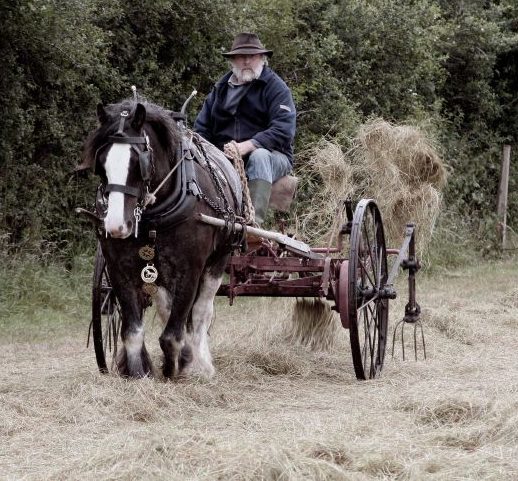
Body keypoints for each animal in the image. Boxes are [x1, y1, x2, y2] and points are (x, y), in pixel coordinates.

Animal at [80, 100, 245, 378]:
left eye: (138, 162)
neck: (153, 216)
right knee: (167, 306)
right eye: (101, 163)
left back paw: (202, 363)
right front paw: (138, 373)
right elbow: (132, 332)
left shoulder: (191, 268)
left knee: (201, 312)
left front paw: (175, 370)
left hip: (219, 258)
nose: (116, 225)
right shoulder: (119, 268)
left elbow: (172, 334)